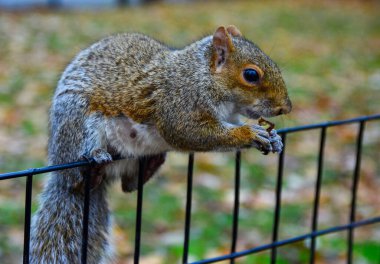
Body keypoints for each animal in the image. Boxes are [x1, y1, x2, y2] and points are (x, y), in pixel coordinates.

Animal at [30, 24, 290, 262]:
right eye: (251, 75)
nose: (286, 108)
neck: (202, 76)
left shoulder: (228, 116)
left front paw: (274, 139)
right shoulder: (179, 105)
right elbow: (191, 133)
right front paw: (249, 133)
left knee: (129, 185)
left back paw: (151, 164)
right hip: (77, 121)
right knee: (77, 178)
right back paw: (92, 165)